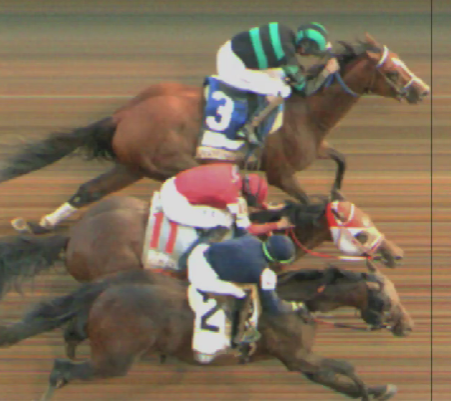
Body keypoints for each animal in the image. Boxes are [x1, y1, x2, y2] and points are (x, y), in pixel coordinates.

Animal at [0, 264, 414, 398]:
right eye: (387, 296)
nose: (408, 326)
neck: (292, 302)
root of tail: (103, 291)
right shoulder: (297, 357)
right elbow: (346, 367)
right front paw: (375, 391)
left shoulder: (300, 362)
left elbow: (336, 379)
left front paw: (379, 389)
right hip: (115, 360)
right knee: (60, 369)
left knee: (63, 364)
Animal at [1, 34, 430, 236]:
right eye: (392, 71)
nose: (423, 90)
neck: (308, 110)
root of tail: (124, 113)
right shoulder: (281, 172)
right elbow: (305, 199)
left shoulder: (316, 150)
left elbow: (342, 161)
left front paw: (338, 197)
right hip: (172, 164)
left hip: (131, 166)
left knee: (87, 190)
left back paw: (38, 224)